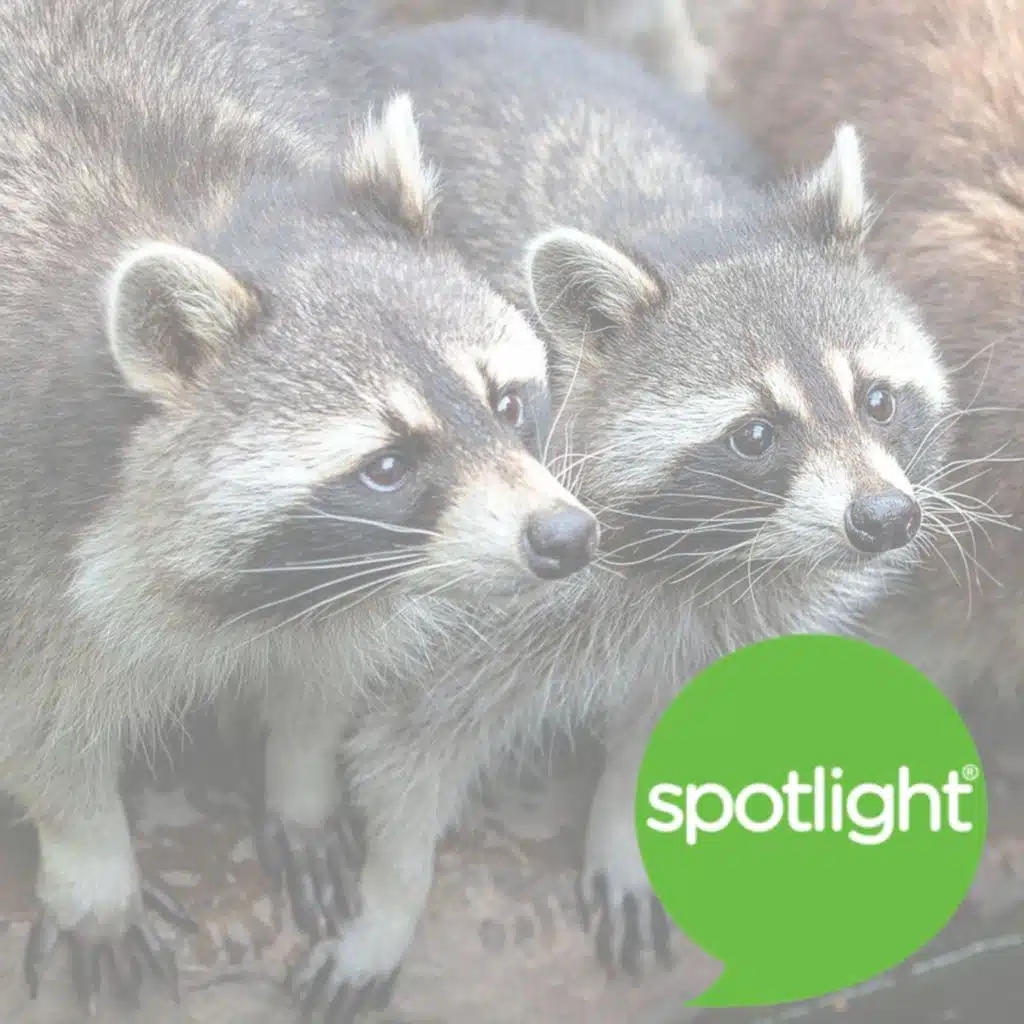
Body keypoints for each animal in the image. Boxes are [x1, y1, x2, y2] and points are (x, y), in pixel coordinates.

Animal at [0, 1, 595, 1012]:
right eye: (388, 465)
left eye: (508, 404)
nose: (566, 536)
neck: (200, 204)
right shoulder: (26, 508)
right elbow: (40, 717)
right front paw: (90, 860)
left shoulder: (356, 568)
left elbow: (330, 659)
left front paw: (301, 768)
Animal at [284, 16, 958, 1016]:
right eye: (756, 434)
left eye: (876, 400)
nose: (883, 518)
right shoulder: (462, 594)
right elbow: (411, 748)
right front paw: (390, 899)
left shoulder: (721, 612)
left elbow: (667, 707)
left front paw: (622, 822)